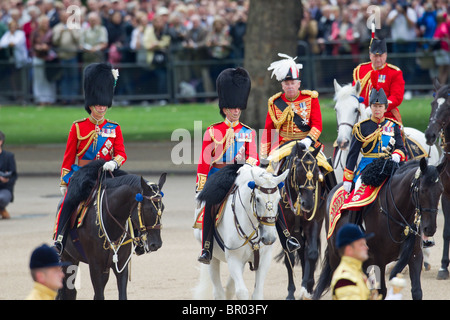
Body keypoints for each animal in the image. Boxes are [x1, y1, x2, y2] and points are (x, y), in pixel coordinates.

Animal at [57, 161, 166, 298]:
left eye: (163, 207)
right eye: (148, 209)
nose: (156, 244)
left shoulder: (121, 265)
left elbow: (121, 295)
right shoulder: (95, 267)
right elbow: (99, 295)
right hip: (68, 258)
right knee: (69, 291)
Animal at [193, 165, 288, 300]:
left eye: (279, 199)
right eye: (257, 199)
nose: (269, 238)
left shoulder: (264, 259)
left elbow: (257, 294)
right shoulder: (234, 259)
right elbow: (242, 292)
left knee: (229, 288)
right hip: (212, 256)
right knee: (218, 291)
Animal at [276, 142, 332, 300]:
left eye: (317, 174)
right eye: (299, 172)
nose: (308, 204)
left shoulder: (314, 222)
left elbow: (311, 253)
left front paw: (307, 288)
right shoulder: (283, 226)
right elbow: (289, 257)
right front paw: (291, 292)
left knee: (305, 251)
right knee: (298, 251)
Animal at [314, 159, 444, 302]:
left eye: (441, 190)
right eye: (422, 190)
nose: (429, 228)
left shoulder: (415, 254)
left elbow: (416, 291)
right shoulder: (378, 259)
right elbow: (382, 291)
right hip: (335, 256)